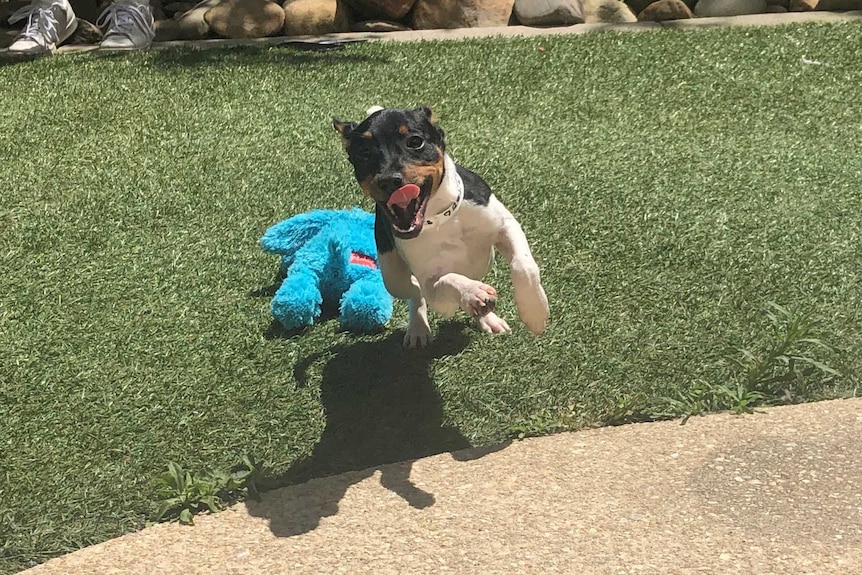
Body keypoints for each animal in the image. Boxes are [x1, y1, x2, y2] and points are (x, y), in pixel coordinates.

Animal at [334, 106, 552, 348]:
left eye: (415, 141)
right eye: (364, 153)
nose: (389, 180)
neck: (440, 218)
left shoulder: (505, 226)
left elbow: (524, 265)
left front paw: (535, 312)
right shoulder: (433, 287)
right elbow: (447, 280)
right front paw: (472, 293)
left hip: (484, 263)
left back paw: (488, 318)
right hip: (393, 277)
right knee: (415, 291)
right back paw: (420, 327)